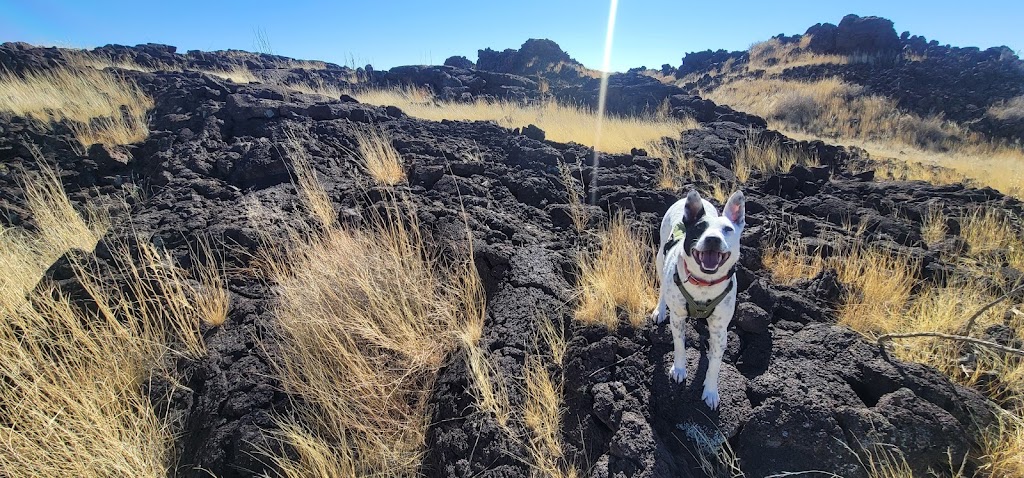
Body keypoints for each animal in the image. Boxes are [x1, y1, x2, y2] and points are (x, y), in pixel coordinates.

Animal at [651, 189, 749, 409]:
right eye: (700, 228)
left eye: (728, 229)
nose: (712, 239)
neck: (704, 283)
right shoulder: (678, 318)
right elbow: (680, 345)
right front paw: (679, 370)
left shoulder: (720, 331)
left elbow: (715, 363)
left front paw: (711, 391)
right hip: (661, 258)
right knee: (662, 288)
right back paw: (659, 310)